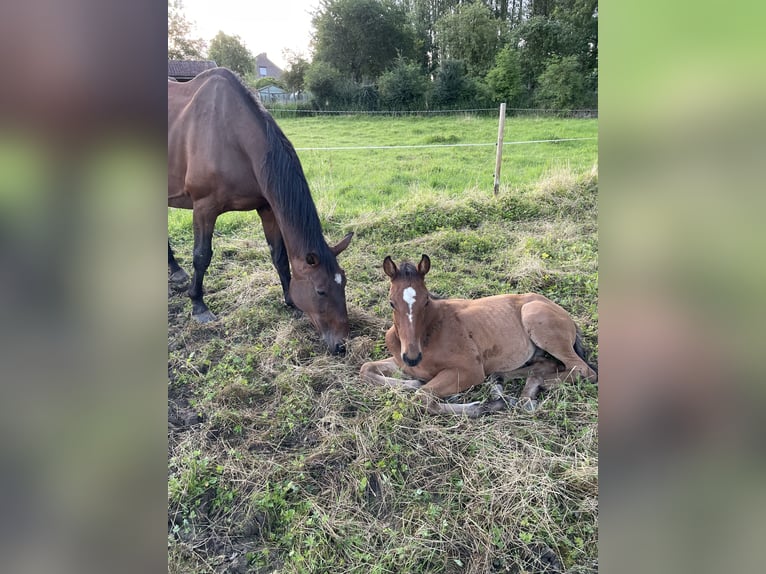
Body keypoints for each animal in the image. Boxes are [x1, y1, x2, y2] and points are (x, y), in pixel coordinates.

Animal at [168, 69, 354, 354]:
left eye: (343, 282)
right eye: (320, 291)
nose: (341, 345)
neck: (230, 135)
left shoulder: (266, 208)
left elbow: (279, 256)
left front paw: (290, 300)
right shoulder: (204, 208)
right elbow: (201, 256)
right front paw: (198, 305)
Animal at [362, 256, 600, 418]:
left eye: (426, 300)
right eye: (392, 303)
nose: (412, 357)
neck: (429, 333)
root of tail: (559, 310)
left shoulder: (470, 371)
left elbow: (422, 397)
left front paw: (484, 406)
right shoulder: (400, 360)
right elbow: (366, 369)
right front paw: (412, 382)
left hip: (536, 319)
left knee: (583, 370)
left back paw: (529, 390)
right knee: (546, 365)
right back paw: (507, 383)